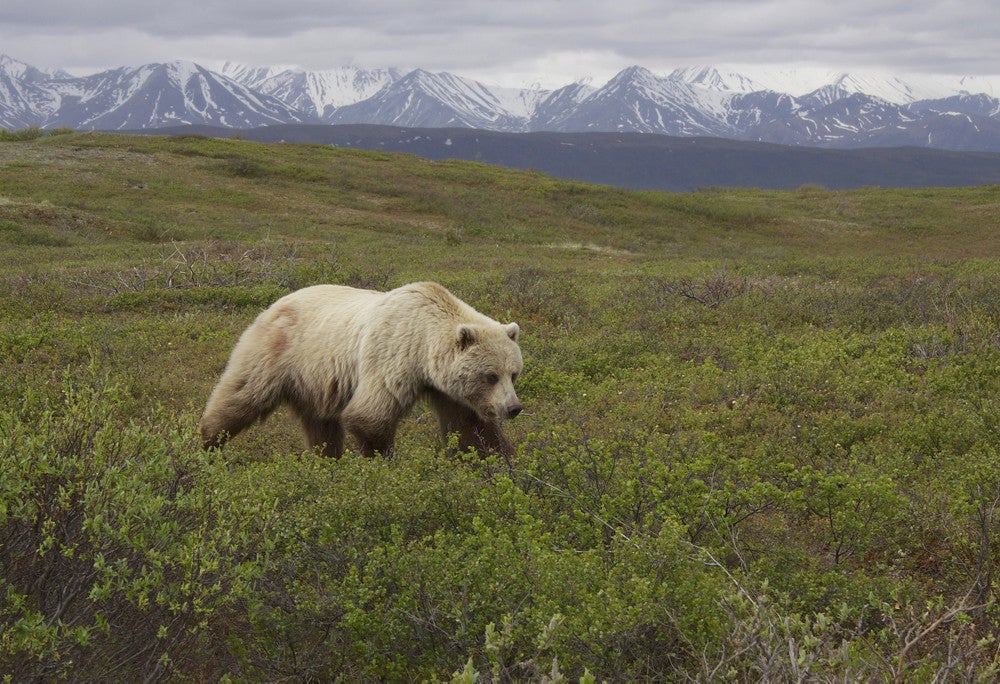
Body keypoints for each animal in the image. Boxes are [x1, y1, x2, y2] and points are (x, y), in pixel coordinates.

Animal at [198, 281, 523, 459]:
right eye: (490, 375)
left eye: (514, 373)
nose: (513, 408)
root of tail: (273, 303)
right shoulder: (393, 356)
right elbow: (370, 415)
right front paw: (381, 463)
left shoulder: (449, 390)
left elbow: (472, 428)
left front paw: (501, 462)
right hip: (276, 352)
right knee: (240, 396)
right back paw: (206, 444)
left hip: (316, 380)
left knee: (320, 426)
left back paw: (326, 459)